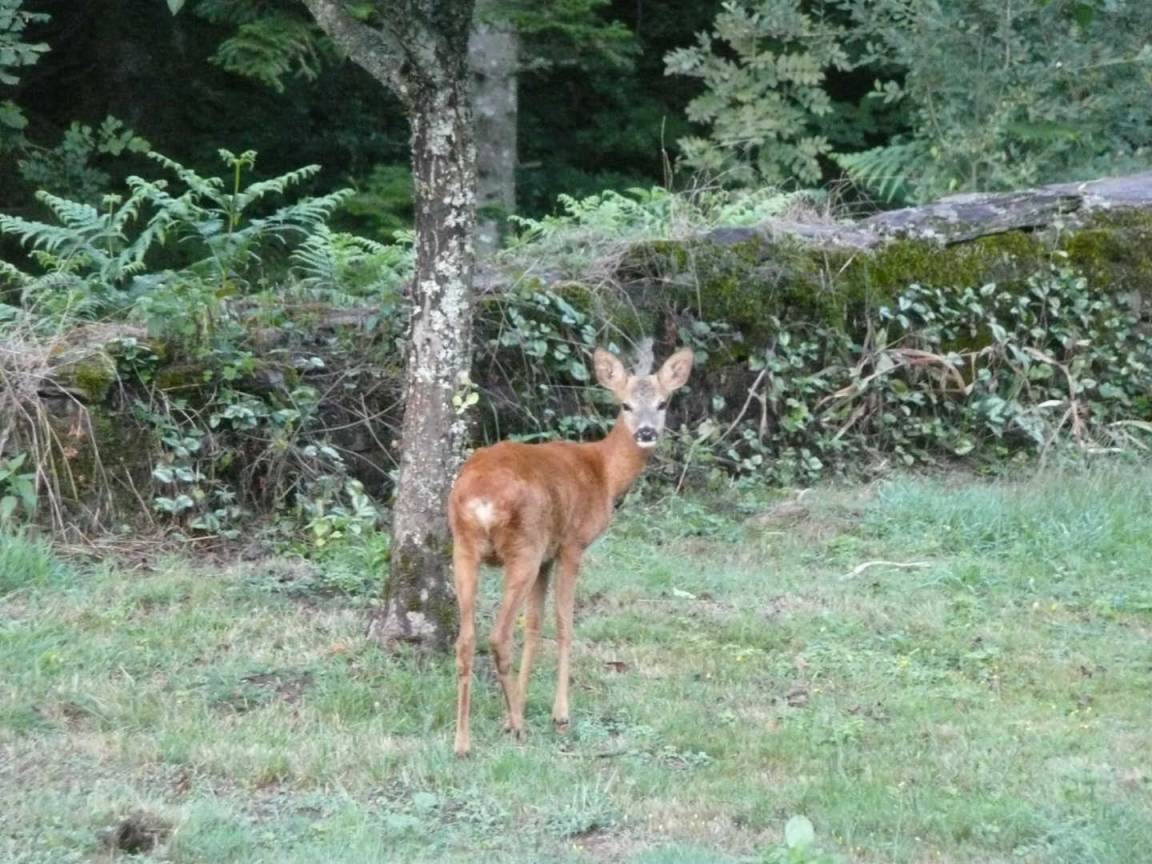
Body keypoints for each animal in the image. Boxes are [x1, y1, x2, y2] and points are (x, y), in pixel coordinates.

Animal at [448, 341, 694, 755]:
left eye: (662, 403)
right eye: (626, 404)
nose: (646, 432)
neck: (604, 472)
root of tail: (480, 499)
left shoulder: (548, 556)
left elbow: (534, 624)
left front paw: (518, 704)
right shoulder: (573, 545)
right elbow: (564, 623)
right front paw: (559, 713)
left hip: (465, 548)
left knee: (466, 640)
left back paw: (463, 742)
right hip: (523, 549)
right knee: (498, 637)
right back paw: (519, 728)